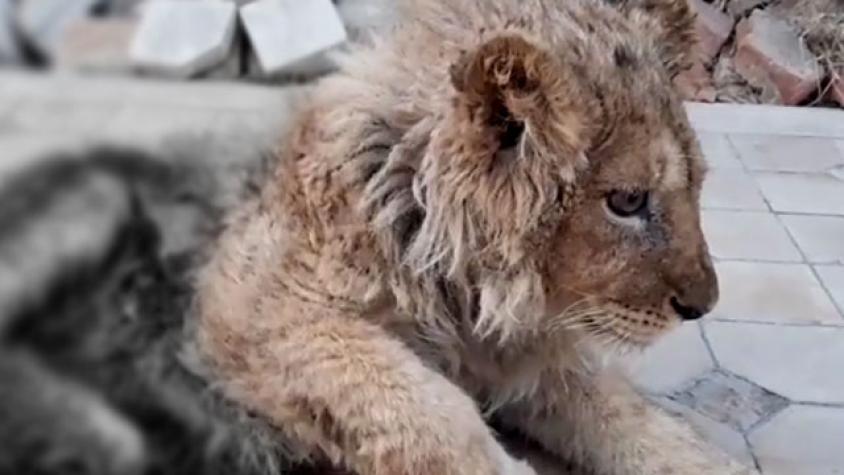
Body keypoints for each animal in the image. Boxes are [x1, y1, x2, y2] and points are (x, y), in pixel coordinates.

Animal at [197, 0, 757, 474]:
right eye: (627, 202)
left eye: (697, 185)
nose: (702, 306)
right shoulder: (257, 310)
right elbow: (431, 412)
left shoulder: (531, 357)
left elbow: (630, 416)